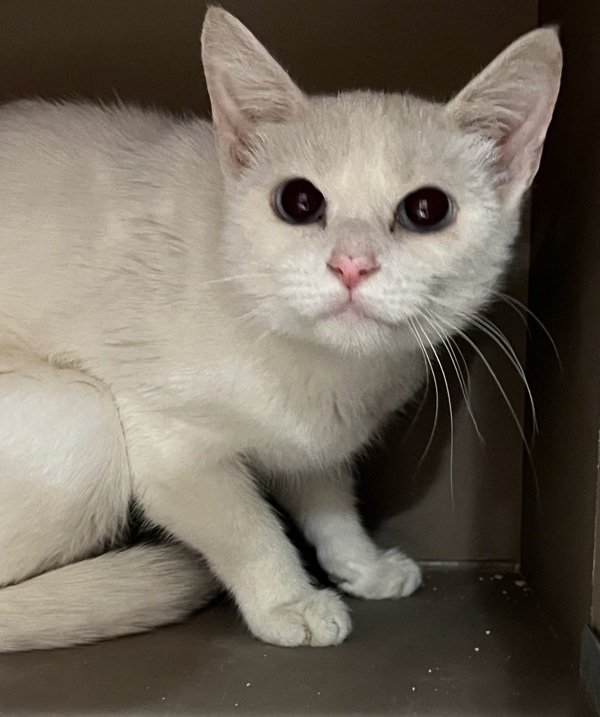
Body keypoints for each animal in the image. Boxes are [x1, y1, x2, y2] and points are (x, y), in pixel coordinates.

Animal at [0, 8, 560, 652]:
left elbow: (329, 501)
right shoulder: (170, 447)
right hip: (87, 417)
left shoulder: (316, 447)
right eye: (298, 201)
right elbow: (249, 528)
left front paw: (362, 565)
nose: (351, 264)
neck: (330, 377)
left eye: (427, 210)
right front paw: (288, 600)